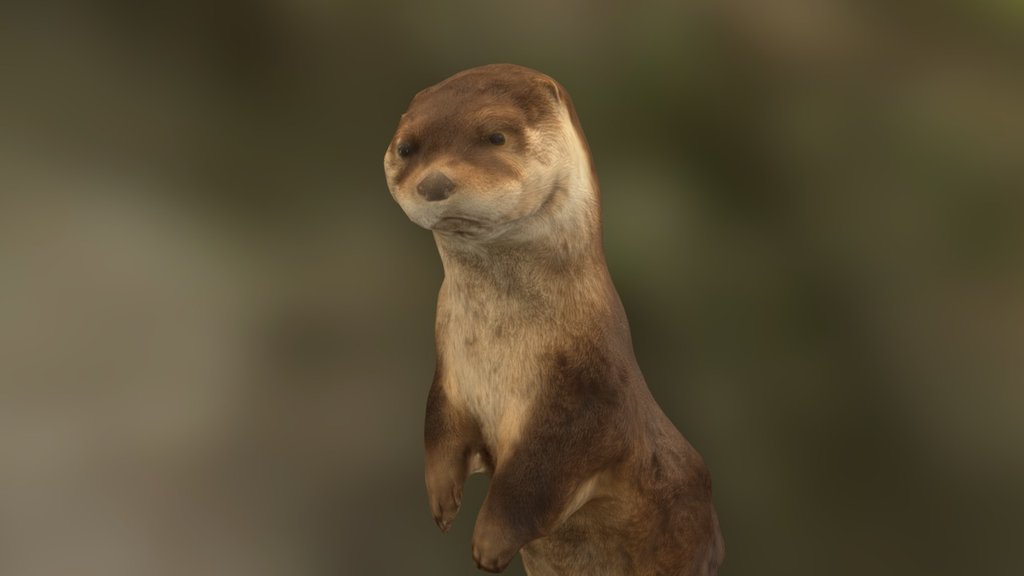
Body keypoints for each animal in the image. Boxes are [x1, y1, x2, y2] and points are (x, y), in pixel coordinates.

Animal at [384, 64, 724, 576]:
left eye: (496, 136)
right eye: (406, 147)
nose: (434, 183)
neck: (499, 350)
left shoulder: (581, 406)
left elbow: (530, 483)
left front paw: (489, 544)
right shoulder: (451, 377)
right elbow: (438, 430)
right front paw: (443, 503)